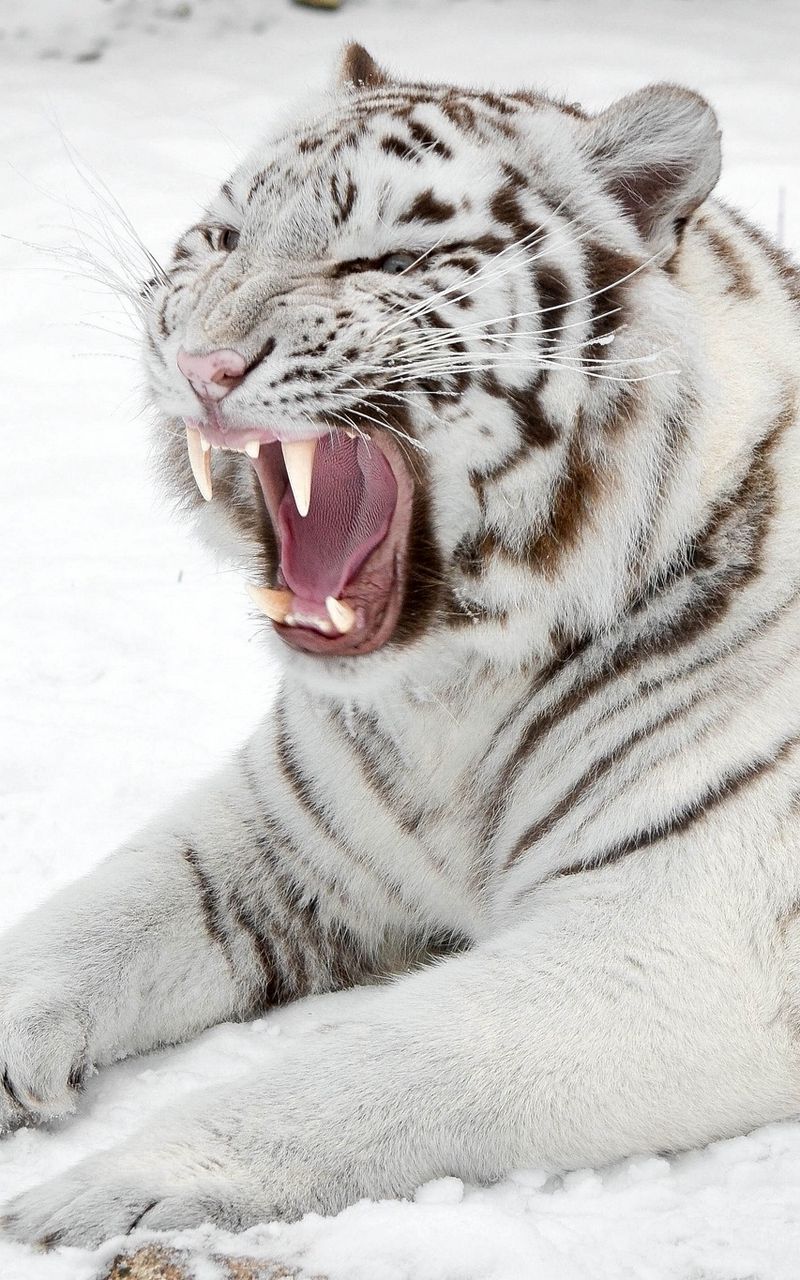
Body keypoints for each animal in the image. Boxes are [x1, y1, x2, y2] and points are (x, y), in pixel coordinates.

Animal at [3, 41, 800, 1251]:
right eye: (220, 239)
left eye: (384, 260)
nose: (201, 364)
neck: (453, 698)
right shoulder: (275, 837)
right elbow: (80, 926)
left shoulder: (679, 933)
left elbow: (370, 1065)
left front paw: (106, 1192)